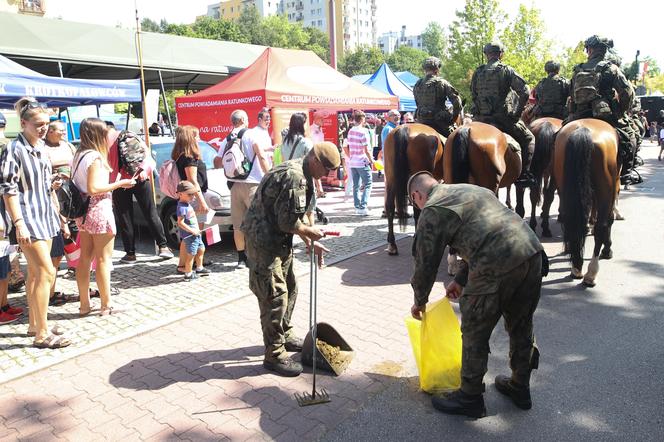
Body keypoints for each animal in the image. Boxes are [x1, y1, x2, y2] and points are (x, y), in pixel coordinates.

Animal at [552, 117, 620, 286]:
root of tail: (582, 131)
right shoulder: (615, 186)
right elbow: (609, 219)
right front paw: (607, 249)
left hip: (565, 185)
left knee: (572, 220)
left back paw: (576, 266)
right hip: (606, 186)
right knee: (601, 226)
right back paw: (591, 272)